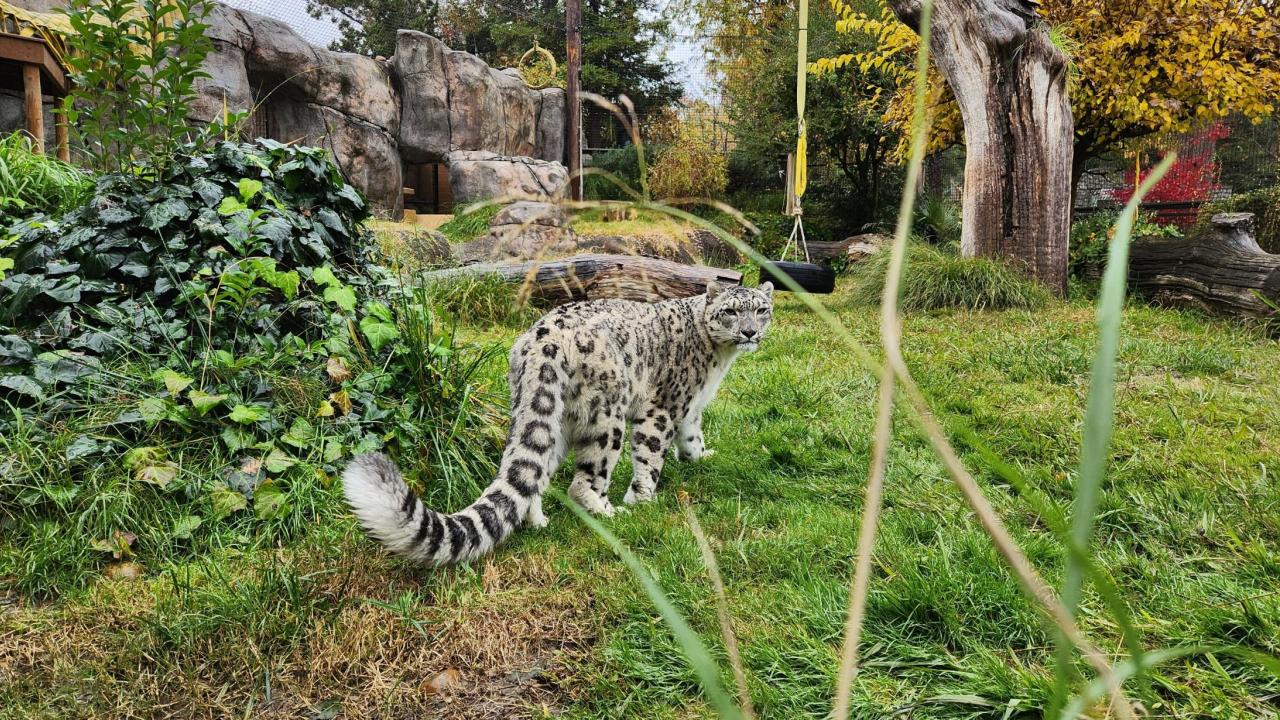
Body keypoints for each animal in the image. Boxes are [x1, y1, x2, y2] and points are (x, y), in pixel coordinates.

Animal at [340, 278, 773, 563]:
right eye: (731, 311)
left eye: (761, 309)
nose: (750, 332)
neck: (719, 361)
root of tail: (540, 340)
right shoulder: (664, 407)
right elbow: (651, 456)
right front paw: (644, 499)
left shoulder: (692, 408)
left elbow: (693, 437)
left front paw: (702, 456)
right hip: (609, 417)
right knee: (584, 481)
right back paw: (608, 512)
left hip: (552, 420)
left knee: (533, 471)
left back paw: (539, 520)